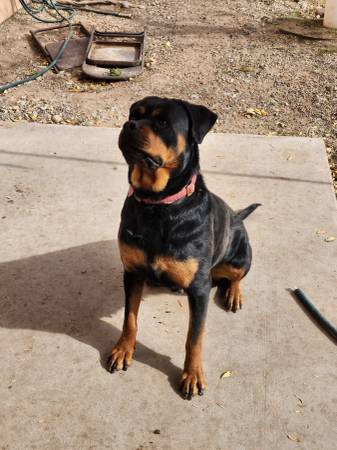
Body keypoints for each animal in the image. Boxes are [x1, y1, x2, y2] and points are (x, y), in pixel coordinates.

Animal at [106, 96, 258, 400]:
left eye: (163, 122)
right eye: (133, 114)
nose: (129, 125)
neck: (158, 206)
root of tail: (236, 216)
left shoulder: (199, 290)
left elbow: (194, 338)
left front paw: (192, 374)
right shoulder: (132, 273)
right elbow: (130, 319)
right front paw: (123, 350)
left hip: (241, 255)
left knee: (236, 276)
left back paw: (233, 293)